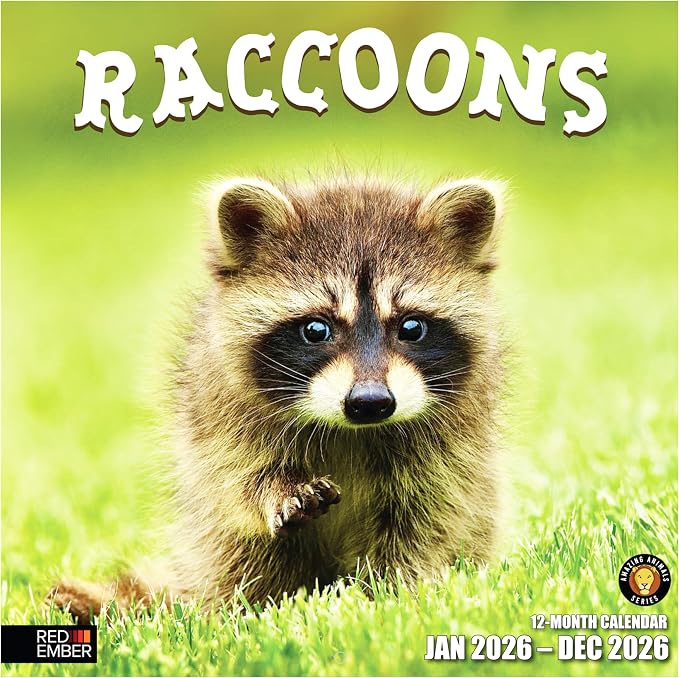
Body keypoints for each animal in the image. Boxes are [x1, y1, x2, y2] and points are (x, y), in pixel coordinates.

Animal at [51, 174, 506, 621]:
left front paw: (386, 594)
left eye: (411, 327)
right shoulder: (218, 406)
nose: (370, 401)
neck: (352, 430)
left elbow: (427, 518)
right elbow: (235, 478)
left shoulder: (453, 444)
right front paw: (275, 489)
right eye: (316, 329)